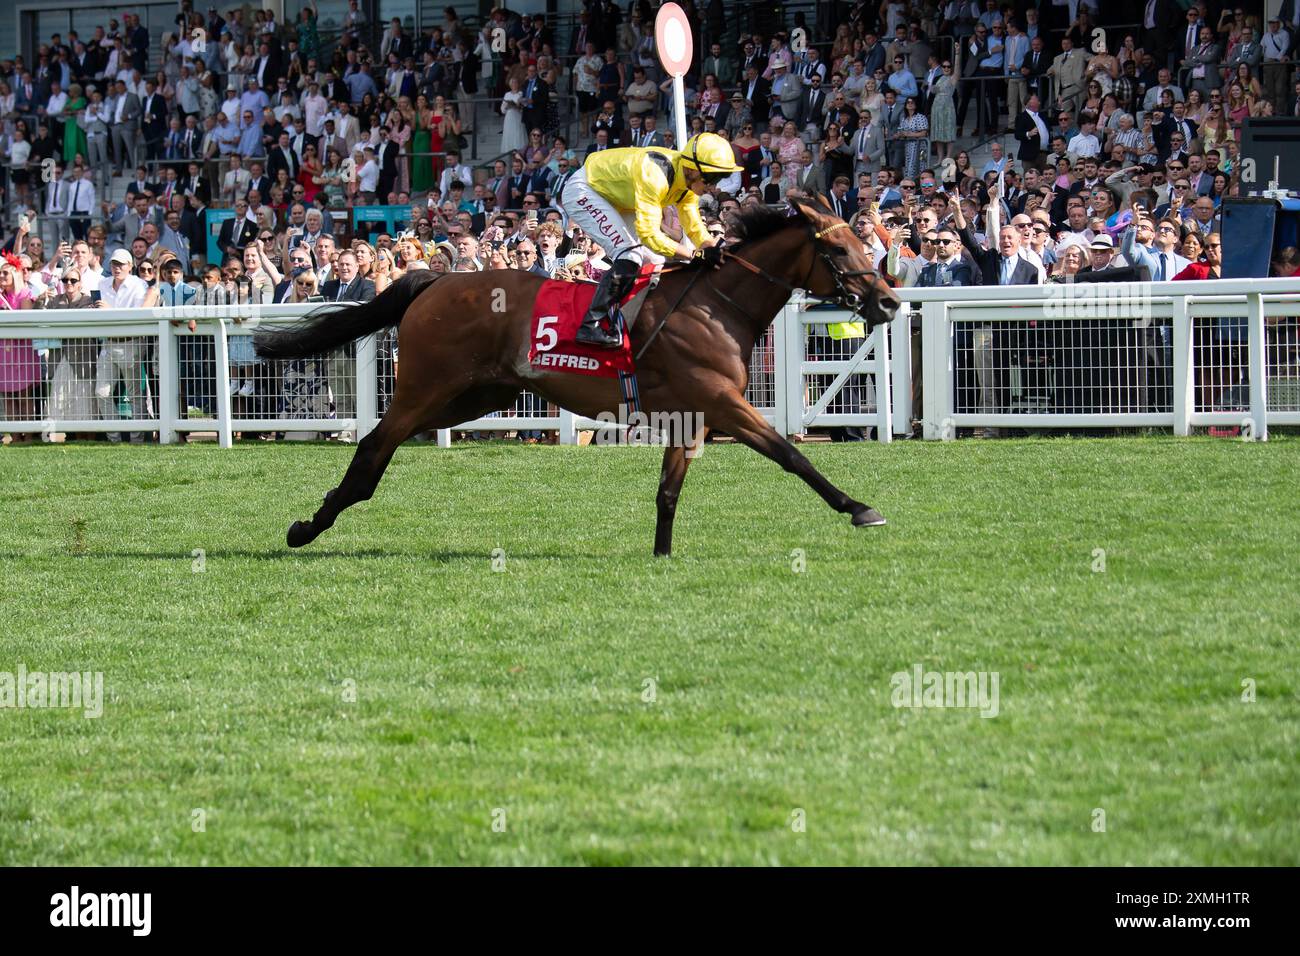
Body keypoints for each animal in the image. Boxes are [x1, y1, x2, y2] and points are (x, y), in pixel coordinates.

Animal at [257, 197, 899, 556]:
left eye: (862, 241)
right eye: (839, 251)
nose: (890, 301)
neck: (716, 304)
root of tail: (435, 280)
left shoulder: (691, 415)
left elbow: (668, 491)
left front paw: (661, 556)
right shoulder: (722, 404)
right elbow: (792, 455)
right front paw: (859, 508)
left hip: (473, 396)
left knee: (380, 445)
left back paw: (313, 520)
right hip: (427, 386)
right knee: (373, 446)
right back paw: (307, 529)